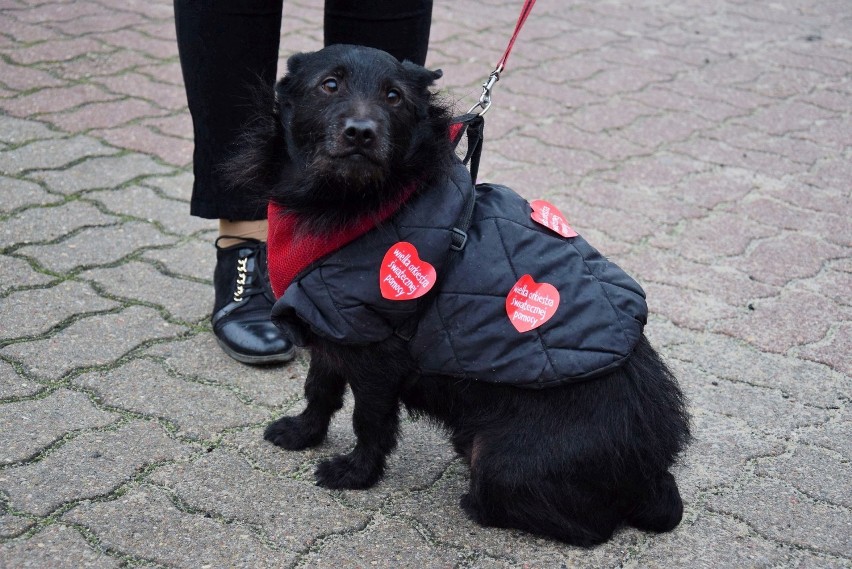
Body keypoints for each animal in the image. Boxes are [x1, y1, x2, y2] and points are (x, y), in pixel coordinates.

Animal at [228, 45, 692, 544]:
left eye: (393, 96)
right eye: (329, 85)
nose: (361, 132)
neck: (359, 203)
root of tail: (652, 473)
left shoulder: (376, 354)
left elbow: (369, 420)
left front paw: (356, 474)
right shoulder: (332, 326)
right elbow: (320, 390)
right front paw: (303, 434)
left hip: (501, 460)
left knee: (588, 527)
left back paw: (476, 504)